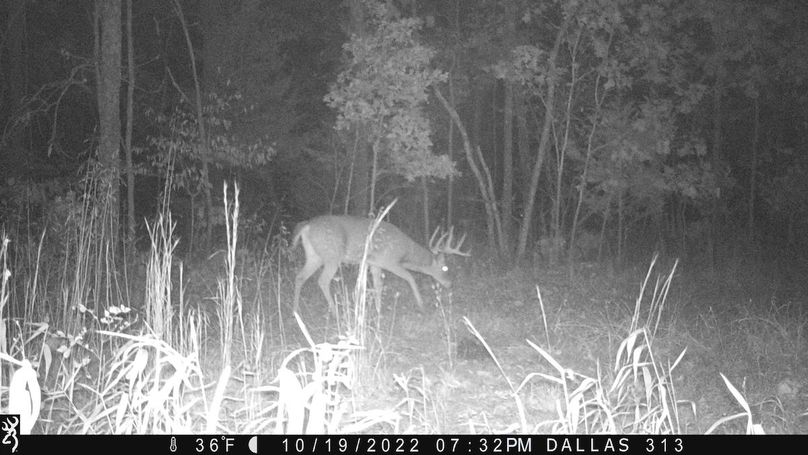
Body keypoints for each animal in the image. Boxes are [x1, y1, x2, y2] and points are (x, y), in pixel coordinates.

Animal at [291, 215, 470, 313]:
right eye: (445, 267)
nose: (450, 284)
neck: (405, 253)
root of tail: (307, 226)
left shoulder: (375, 263)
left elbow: (377, 284)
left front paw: (378, 309)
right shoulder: (389, 261)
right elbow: (410, 277)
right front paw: (421, 304)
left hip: (314, 255)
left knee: (299, 277)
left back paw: (295, 310)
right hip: (331, 255)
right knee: (322, 280)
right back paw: (335, 311)